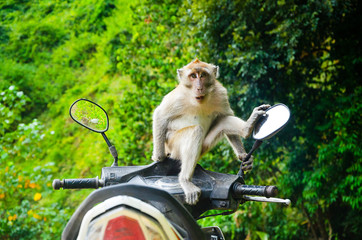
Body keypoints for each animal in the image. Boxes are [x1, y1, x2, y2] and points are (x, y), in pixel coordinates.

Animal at [152, 58, 268, 204]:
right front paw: (159, 157)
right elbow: (160, 115)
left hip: (204, 146)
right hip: (174, 146)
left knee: (224, 121)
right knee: (195, 131)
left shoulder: (220, 93)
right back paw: (185, 181)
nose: (199, 87)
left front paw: (243, 156)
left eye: (202, 75)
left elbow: (225, 115)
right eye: (193, 76)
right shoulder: (178, 96)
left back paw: (247, 128)